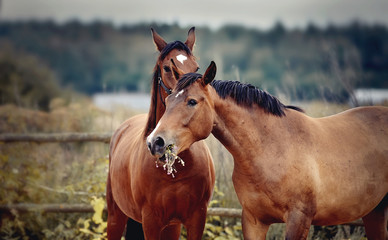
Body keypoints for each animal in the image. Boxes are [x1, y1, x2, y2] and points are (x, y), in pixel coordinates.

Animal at [106, 28, 215, 240]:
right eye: (167, 68)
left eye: (196, 67)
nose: (158, 143)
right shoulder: (151, 221)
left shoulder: (197, 218)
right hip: (115, 216)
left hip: (171, 227)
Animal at [148, 61, 388, 239]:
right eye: (169, 99)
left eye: (192, 101)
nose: (155, 142)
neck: (271, 149)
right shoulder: (254, 221)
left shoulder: (298, 220)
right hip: (375, 212)